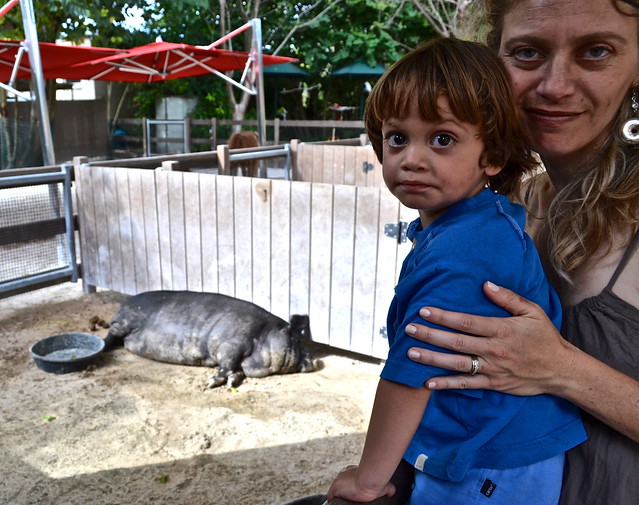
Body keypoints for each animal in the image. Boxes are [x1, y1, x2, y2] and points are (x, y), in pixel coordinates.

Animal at [108, 292, 324, 386]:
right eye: (297, 340)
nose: (316, 361)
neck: (262, 335)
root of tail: (120, 308)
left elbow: (237, 370)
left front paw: (232, 382)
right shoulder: (230, 342)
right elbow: (228, 362)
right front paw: (212, 383)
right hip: (125, 322)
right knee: (112, 334)